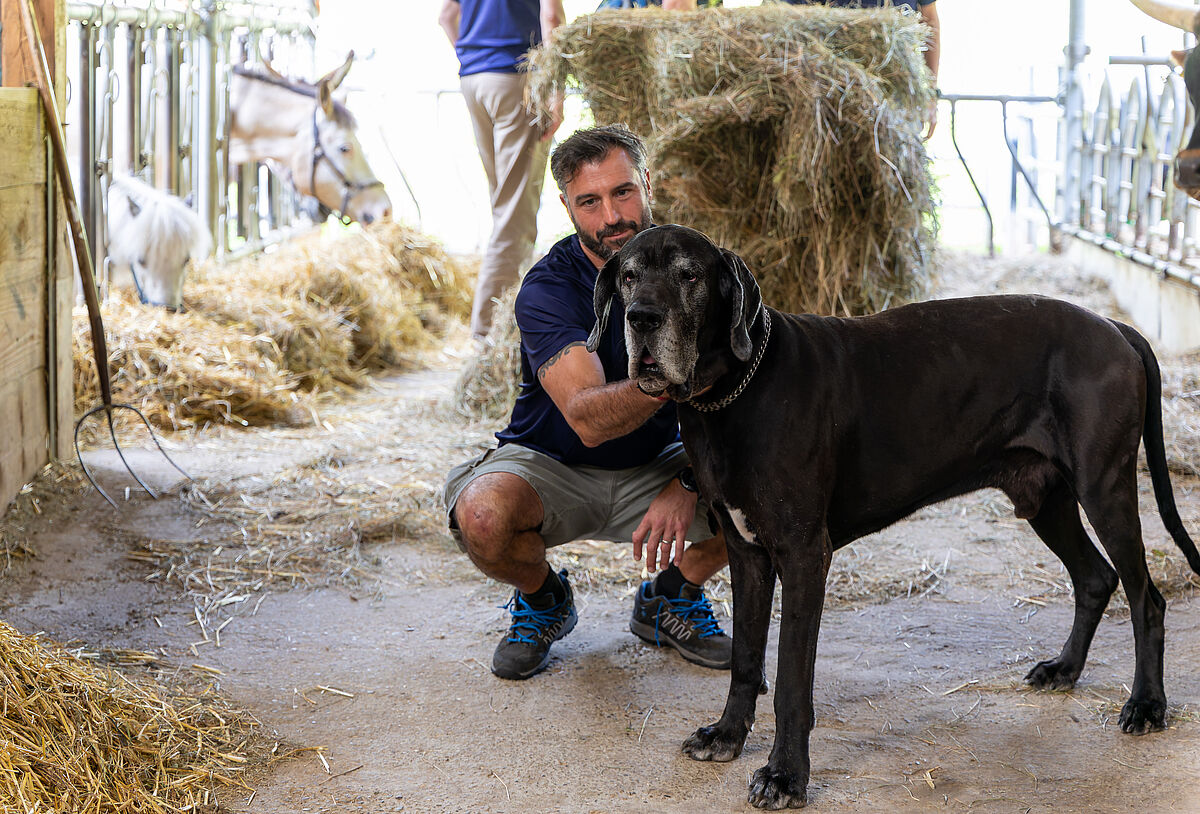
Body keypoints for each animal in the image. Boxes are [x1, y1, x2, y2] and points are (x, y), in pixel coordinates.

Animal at [590, 223, 1200, 811]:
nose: (641, 318)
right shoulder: (747, 553)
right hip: (1044, 498)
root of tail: (1115, 327)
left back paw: (1147, 705)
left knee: (1147, 598)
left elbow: (790, 680)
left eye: (689, 275)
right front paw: (727, 735)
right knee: (1095, 578)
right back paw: (1064, 670)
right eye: (628, 275)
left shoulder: (804, 555)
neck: (733, 395)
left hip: (1105, 487)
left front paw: (786, 775)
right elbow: (745, 659)